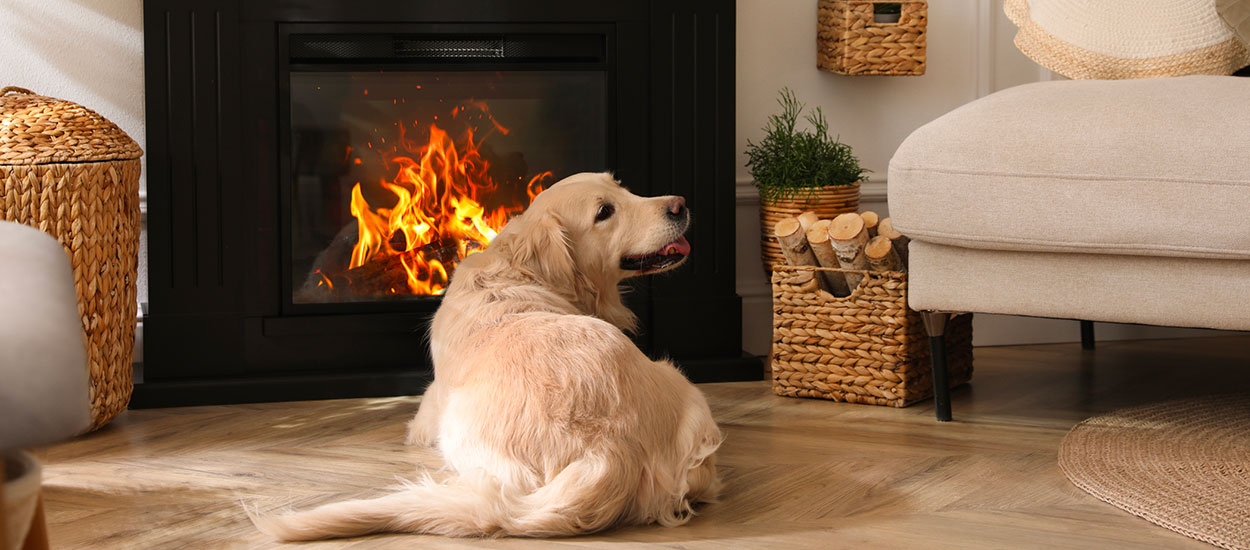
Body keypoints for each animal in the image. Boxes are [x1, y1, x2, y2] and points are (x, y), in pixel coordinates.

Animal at [253, 172, 725, 542]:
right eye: (605, 211)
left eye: (622, 187)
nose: (680, 205)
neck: (522, 271)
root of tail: (609, 450)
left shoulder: (426, 414)